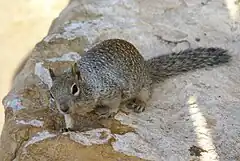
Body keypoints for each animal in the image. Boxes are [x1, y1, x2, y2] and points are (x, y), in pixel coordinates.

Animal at [48, 38, 231, 131]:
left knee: (146, 94)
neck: (88, 82)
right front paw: (67, 128)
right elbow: (69, 119)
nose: (63, 107)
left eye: (75, 89)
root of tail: (146, 66)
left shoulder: (110, 90)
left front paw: (109, 112)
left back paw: (140, 103)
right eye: (51, 94)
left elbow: (114, 103)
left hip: (143, 86)